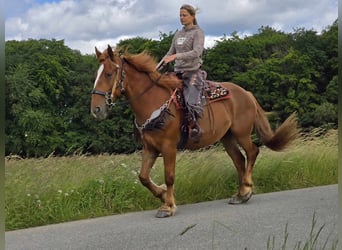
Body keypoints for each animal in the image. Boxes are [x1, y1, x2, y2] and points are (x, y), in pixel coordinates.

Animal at [91, 46, 300, 218]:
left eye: (108, 74)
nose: (96, 109)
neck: (153, 102)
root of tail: (246, 93)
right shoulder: (150, 148)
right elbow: (143, 177)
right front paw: (162, 194)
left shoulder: (168, 147)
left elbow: (169, 176)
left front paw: (168, 206)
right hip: (227, 137)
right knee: (239, 160)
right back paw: (240, 194)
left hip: (241, 133)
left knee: (252, 152)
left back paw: (247, 189)